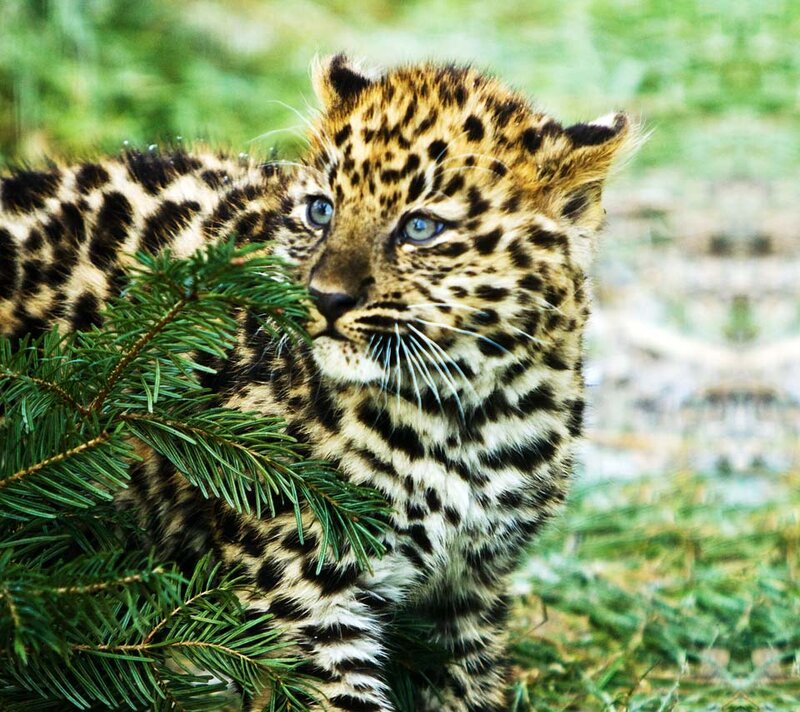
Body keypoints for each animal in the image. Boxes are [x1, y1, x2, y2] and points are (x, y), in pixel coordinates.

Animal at [0, 55, 635, 711]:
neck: (467, 416)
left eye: (421, 227)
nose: (325, 298)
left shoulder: (474, 586)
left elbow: (466, 683)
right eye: (321, 210)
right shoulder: (301, 591)